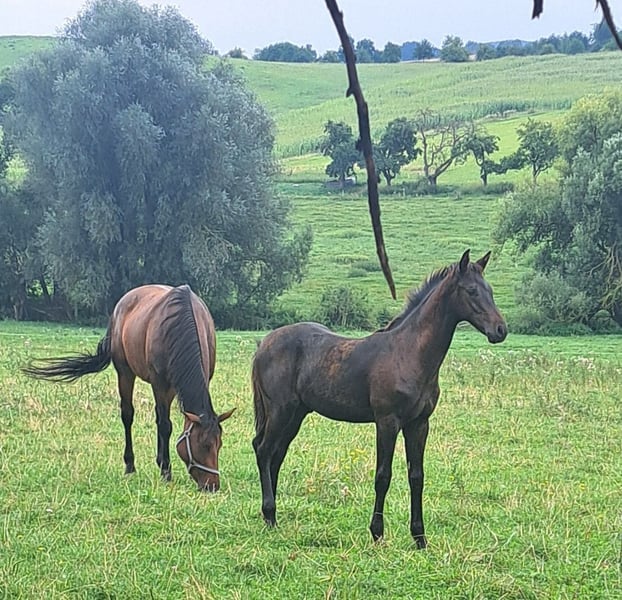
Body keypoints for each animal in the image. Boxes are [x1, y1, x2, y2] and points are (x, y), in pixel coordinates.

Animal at [22, 284, 235, 492]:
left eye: (220, 444)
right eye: (203, 445)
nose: (212, 486)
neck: (181, 322)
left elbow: (163, 421)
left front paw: (163, 464)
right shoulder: (159, 383)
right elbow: (165, 425)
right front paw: (166, 472)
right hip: (125, 373)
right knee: (128, 415)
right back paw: (130, 466)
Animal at [251, 250, 507, 547]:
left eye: (490, 290)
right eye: (471, 291)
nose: (500, 330)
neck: (409, 353)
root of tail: (264, 343)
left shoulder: (419, 424)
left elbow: (416, 476)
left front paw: (420, 537)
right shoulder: (387, 421)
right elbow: (383, 476)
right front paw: (377, 533)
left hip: (296, 414)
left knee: (276, 455)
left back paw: (271, 516)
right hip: (279, 410)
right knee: (263, 449)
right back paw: (270, 514)